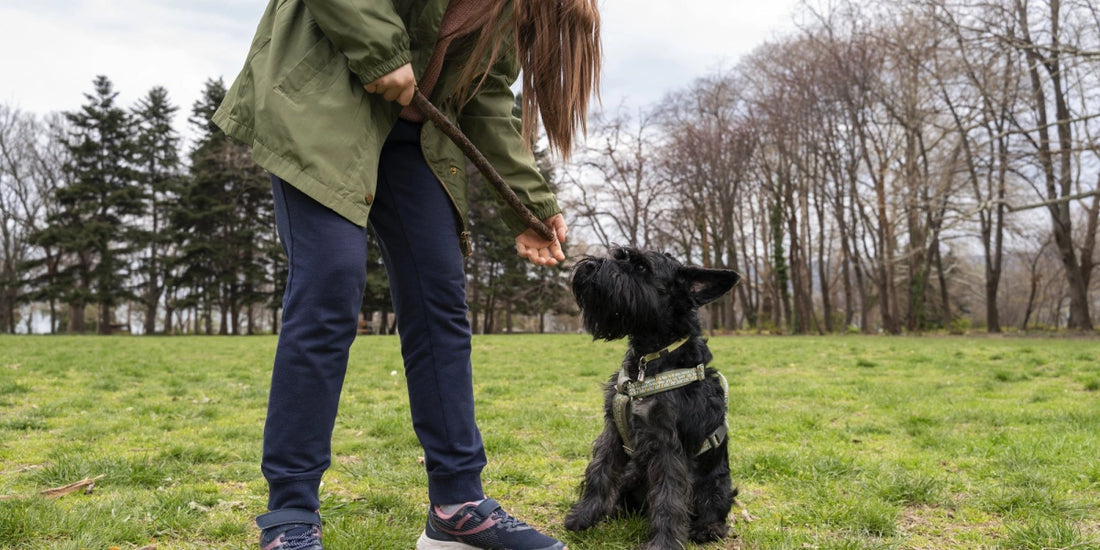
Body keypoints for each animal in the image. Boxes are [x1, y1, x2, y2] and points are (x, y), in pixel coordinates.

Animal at [567, 247, 739, 547]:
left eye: (640, 266)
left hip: (716, 485)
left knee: (714, 509)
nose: (589, 266)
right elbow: (599, 472)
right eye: (619, 255)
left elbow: (668, 498)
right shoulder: (613, 431)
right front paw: (584, 515)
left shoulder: (666, 444)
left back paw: (707, 529)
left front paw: (664, 543)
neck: (648, 360)